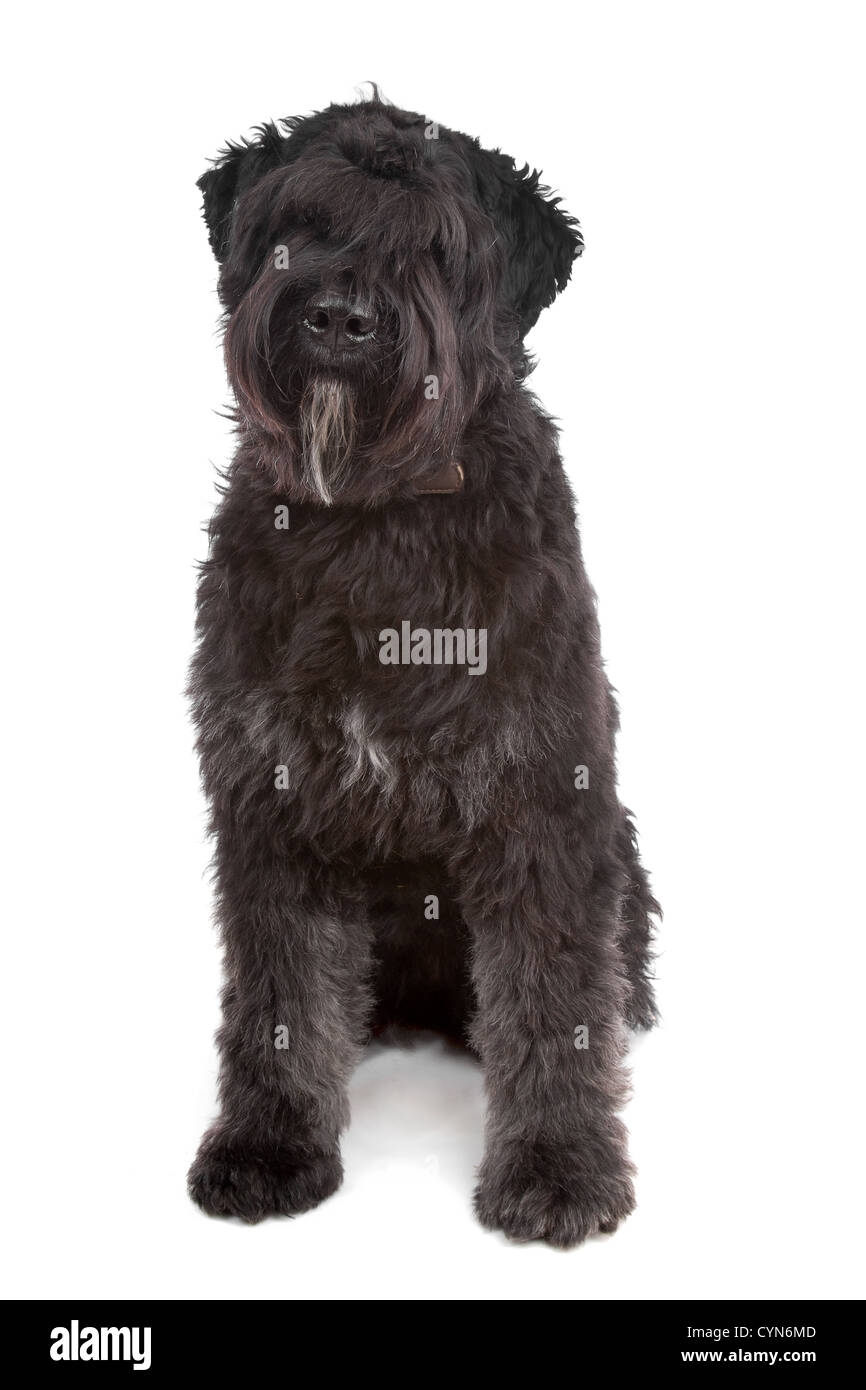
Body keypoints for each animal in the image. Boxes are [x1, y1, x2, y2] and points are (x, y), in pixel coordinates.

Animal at [189, 97, 661, 1251]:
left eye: (438, 247)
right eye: (298, 222)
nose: (339, 319)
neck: (373, 526)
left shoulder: (541, 801)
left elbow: (552, 995)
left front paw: (559, 1168)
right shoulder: (268, 801)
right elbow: (278, 993)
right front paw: (267, 1147)